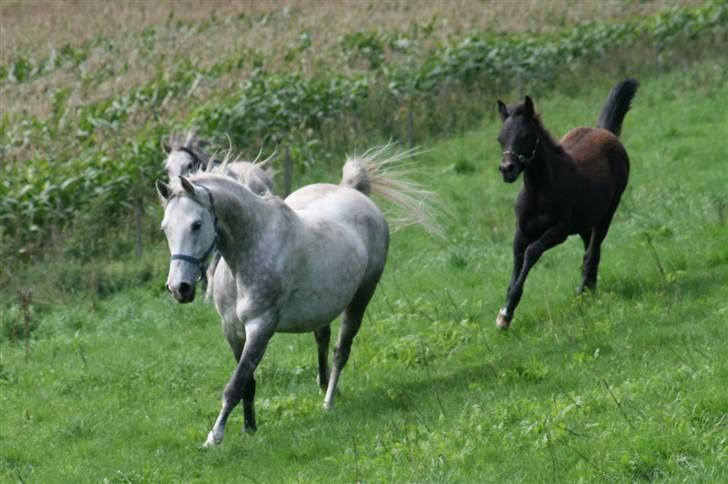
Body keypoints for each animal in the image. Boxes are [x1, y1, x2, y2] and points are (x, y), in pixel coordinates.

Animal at [156, 146, 436, 448]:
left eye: (196, 224)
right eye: (165, 228)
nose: (179, 288)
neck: (247, 252)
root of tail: (353, 191)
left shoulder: (261, 327)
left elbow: (235, 384)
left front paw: (214, 438)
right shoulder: (232, 330)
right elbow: (247, 382)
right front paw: (249, 428)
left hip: (361, 298)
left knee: (341, 350)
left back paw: (328, 401)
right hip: (321, 306)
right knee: (322, 339)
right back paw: (324, 386)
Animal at [494, 79, 636, 328]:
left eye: (526, 136)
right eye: (501, 138)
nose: (507, 169)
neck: (539, 191)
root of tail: (606, 131)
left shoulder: (559, 231)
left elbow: (532, 252)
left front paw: (506, 313)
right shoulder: (520, 233)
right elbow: (517, 265)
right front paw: (506, 313)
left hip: (606, 213)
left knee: (592, 252)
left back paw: (582, 293)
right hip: (585, 222)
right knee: (590, 249)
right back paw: (589, 289)